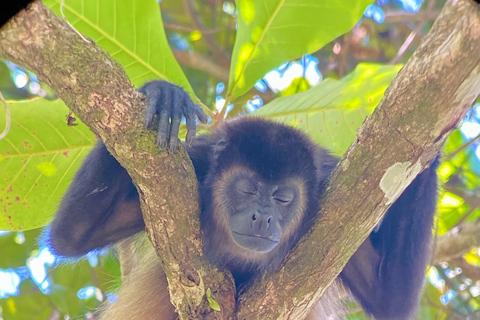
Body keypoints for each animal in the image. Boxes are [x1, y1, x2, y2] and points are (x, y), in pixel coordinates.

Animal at [47, 80, 440, 320]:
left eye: (283, 198)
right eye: (247, 189)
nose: (262, 217)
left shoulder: (331, 197)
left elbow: (391, 298)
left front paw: (433, 143)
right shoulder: (196, 164)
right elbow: (71, 236)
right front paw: (162, 92)